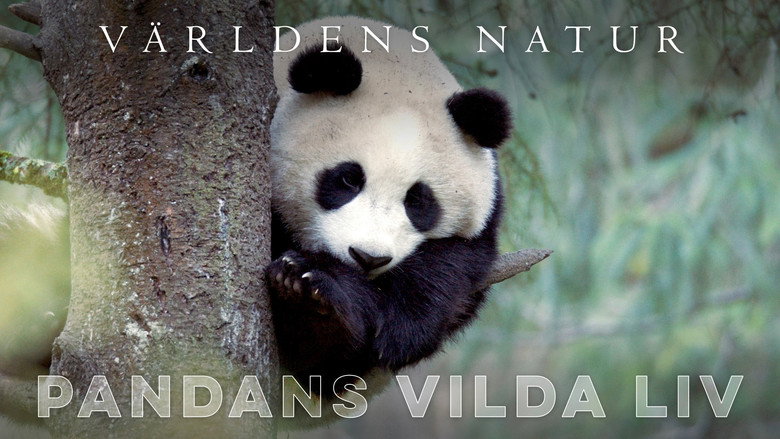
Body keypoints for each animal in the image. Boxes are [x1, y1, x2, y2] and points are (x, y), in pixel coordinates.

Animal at [266, 16, 512, 404]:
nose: (368, 258)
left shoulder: (484, 217)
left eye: (418, 201)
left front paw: (322, 302)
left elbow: (450, 269)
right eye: (348, 179)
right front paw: (307, 289)